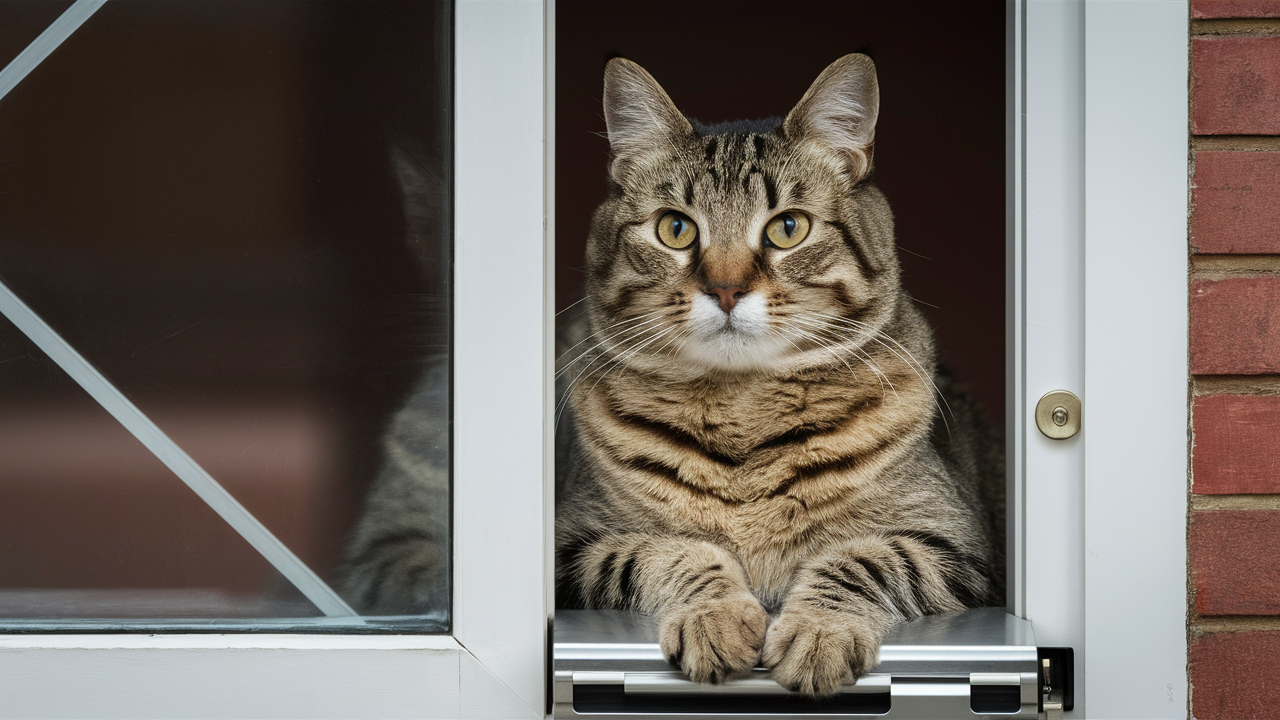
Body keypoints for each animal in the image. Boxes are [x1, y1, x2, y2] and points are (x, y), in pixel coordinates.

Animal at [555, 56, 1003, 696]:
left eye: (788, 227)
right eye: (675, 228)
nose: (725, 290)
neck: (745, 412)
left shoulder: (954, 543)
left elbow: (862, 558)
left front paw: (819, 633)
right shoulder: (575, 546)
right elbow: (664, 550)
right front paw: (715, 617)